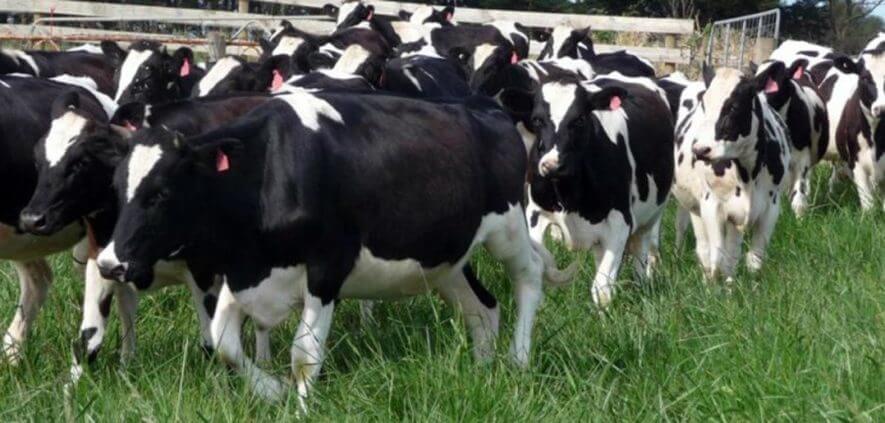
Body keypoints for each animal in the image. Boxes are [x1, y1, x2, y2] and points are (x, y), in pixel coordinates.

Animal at [18, 94, 273, 377]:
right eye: (37, 159)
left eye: (80, 163)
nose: (32, 219)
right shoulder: (101, 259)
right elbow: (89, 337)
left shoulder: (203, 271)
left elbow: (211, 340)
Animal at [94, 88, 575, 405]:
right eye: (116, 187)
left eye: (160, 193)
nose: (109, 263)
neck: (268, 171)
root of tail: (492, 110)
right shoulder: (246, 270)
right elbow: (224, 342)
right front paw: (272, 391)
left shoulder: (328, 266)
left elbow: (304, 355)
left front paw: (300, 405)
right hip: (446, 256)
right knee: (482, 308)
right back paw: (483, 369)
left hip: (507, 228)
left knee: (528, 276)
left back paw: (519, 358)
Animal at [499, 73, 674, 306]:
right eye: (537, 119)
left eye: (580, 119)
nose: (552, 165)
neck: (569, 195)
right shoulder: (535, 213)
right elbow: (544, 264)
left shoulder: (620, 222)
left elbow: (602, 288)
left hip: (652, 216)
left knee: (642, 251)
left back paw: (642, 286)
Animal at [672, 66, 791, 282]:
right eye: (704, 104)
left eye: (733, 107)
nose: (700, 150)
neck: (747, 174)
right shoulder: (711, 205)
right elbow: (716, 259)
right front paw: (712, 288)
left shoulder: (771, 207)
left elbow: (753, 260)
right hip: (694, 207)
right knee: (703, 249)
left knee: (732, 254)